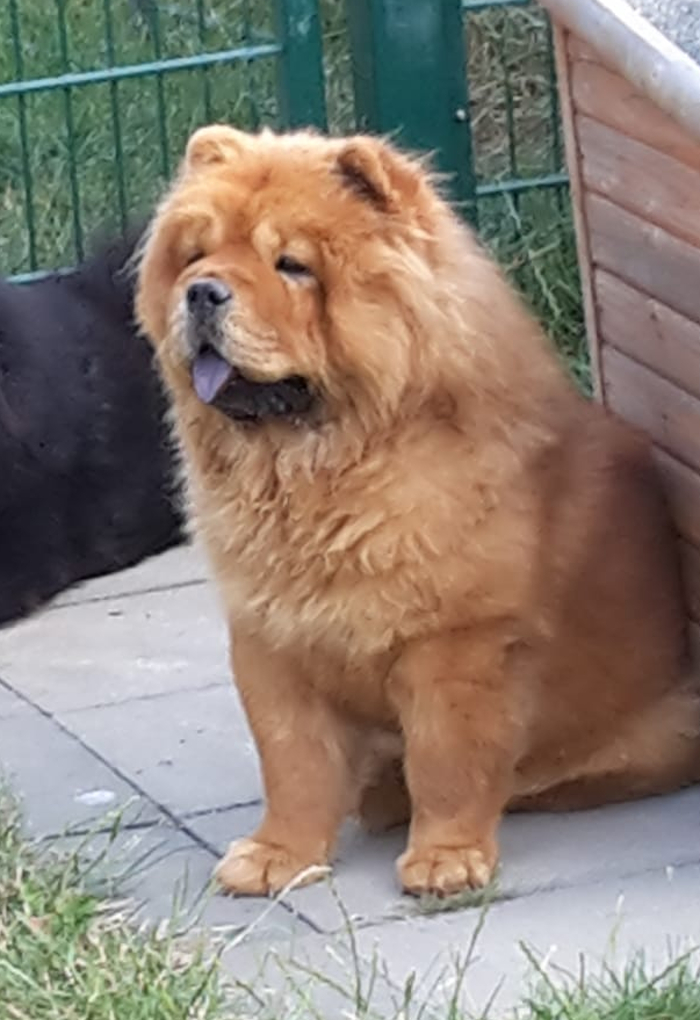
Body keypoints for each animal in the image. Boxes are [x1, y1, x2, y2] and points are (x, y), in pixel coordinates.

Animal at [136, 125, 700, 897]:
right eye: (196, 255)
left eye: (292, 265)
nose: (202, 293)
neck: (317, 471)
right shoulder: (270, 638)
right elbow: (292, 762)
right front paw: (279, 855)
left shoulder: (456, 644)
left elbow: (447, 760)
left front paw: (445, 860)